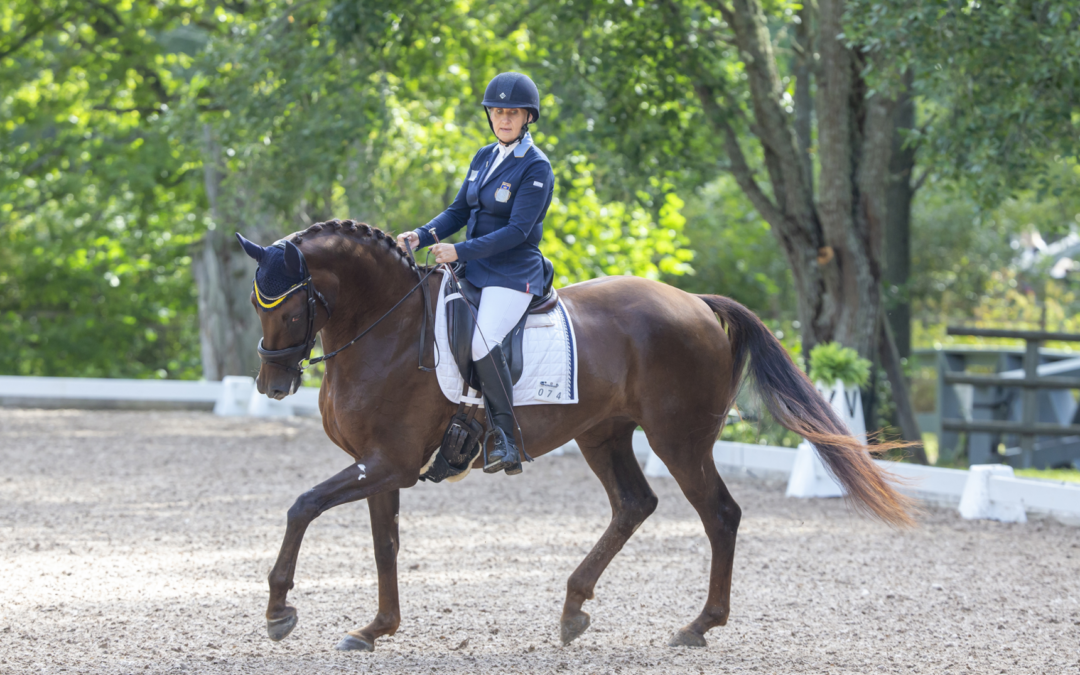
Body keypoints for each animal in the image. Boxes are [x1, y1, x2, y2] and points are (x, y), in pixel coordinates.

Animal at [238, 218, 911, 652]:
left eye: (289, 306)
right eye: (255, 304)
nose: (272, 384)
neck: (389, 328)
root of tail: (694, 301)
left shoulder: (389, 462)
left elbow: (302, 506)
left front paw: (279, 610)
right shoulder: (380, 464)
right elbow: (385, 545)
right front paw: (375, 629)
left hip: (679, 440)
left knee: (719, 514)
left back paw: (697, 627)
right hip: (604, 435)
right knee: (634, 504)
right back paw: (572, 608)